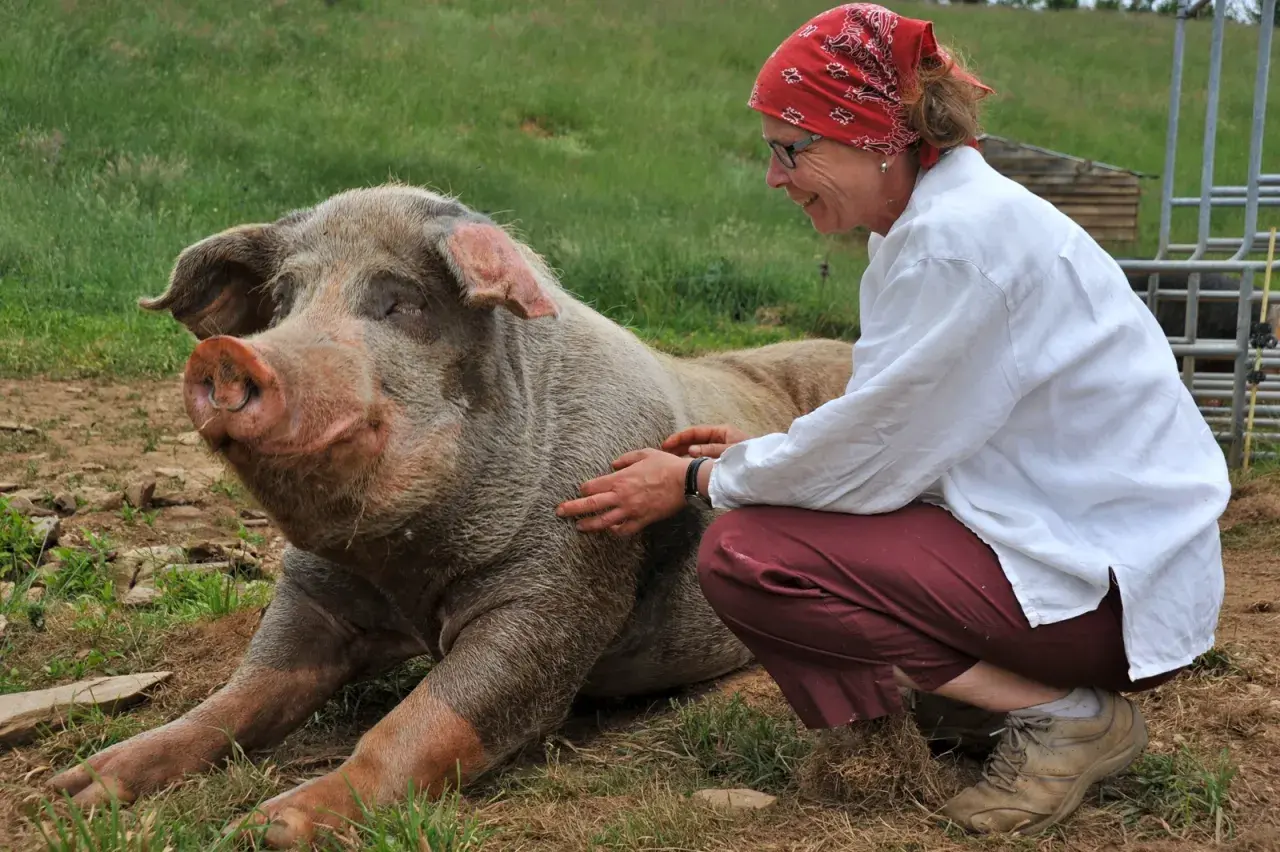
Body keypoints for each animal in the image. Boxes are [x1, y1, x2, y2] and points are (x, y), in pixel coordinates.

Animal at [47, 183, 855, 847]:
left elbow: (432, 718)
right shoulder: (314, 590)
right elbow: (242, 692)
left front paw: (267, 829)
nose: (225, 353)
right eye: (282, 303)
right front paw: (71, 792)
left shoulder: (563, 588)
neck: (407, 577)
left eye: (400, 302)